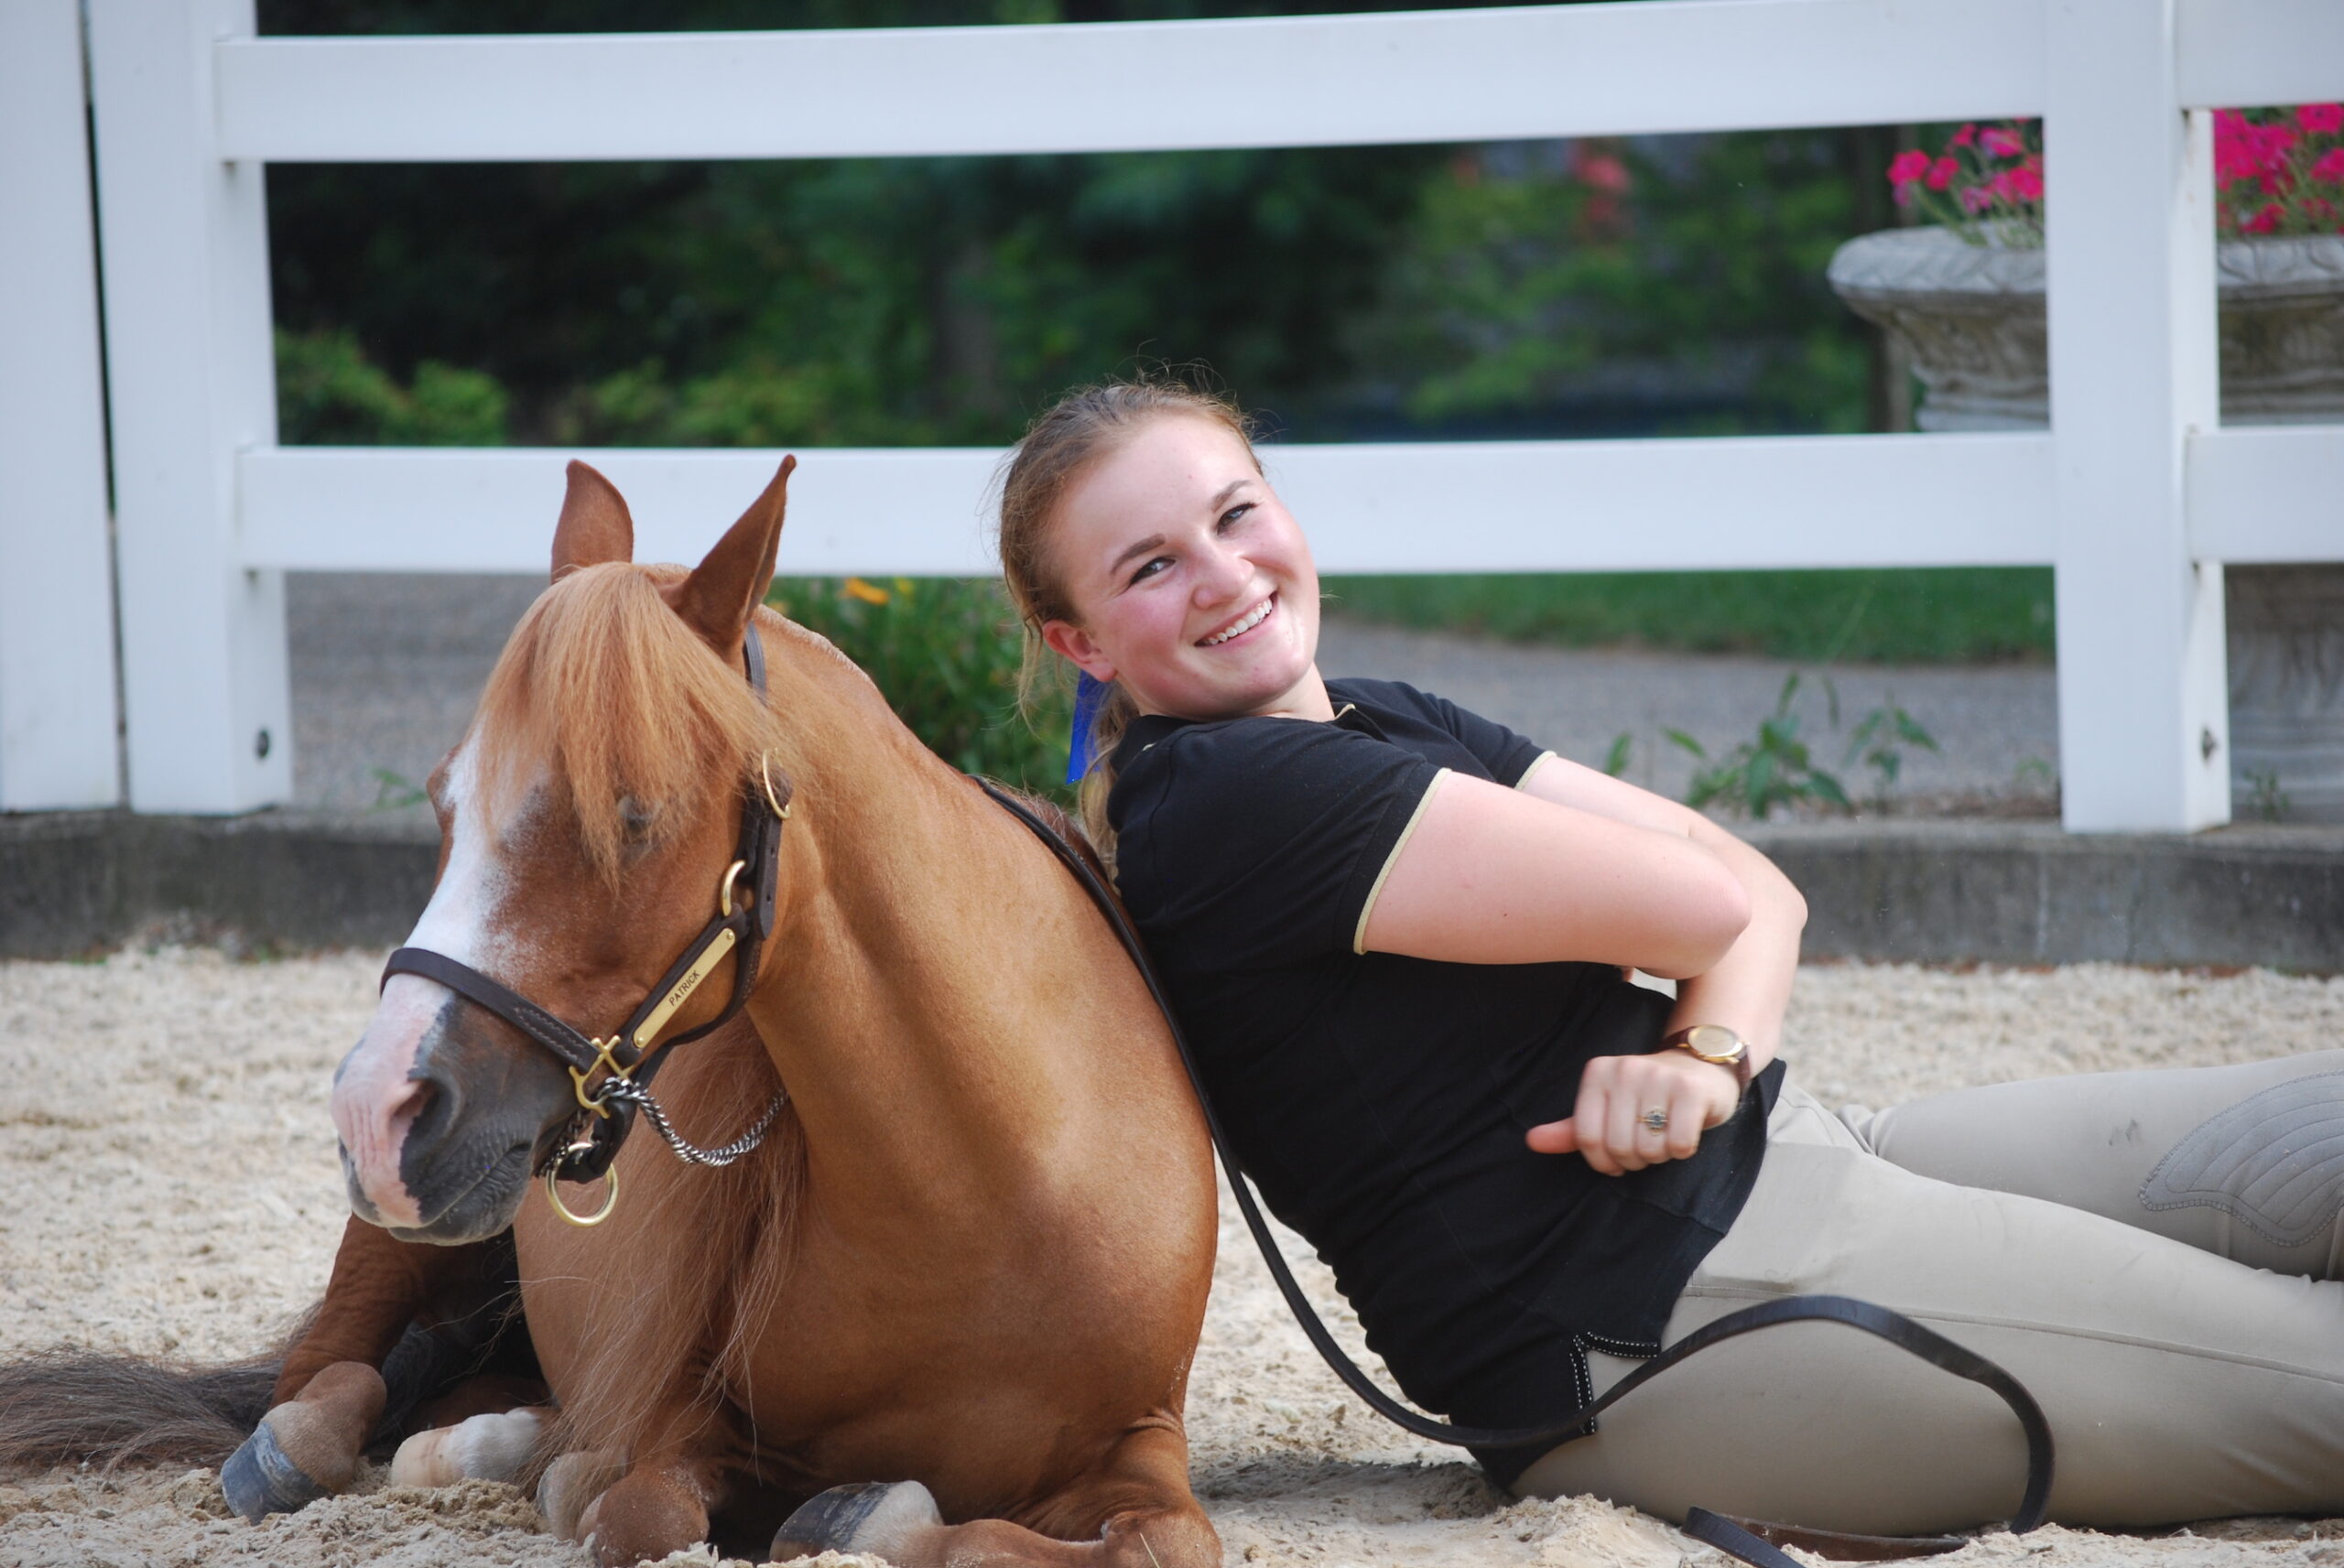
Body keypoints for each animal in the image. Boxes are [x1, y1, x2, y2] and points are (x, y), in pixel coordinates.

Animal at [58, 459, 1223, 1568]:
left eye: (635, 815)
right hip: (394, 1245)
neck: (1000, 1176)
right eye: (442, 799)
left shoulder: (1139, 1445)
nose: (376, 1110)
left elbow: (1161, 1541)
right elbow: (642, 1516)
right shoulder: (684, 1428)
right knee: (319, 1389)